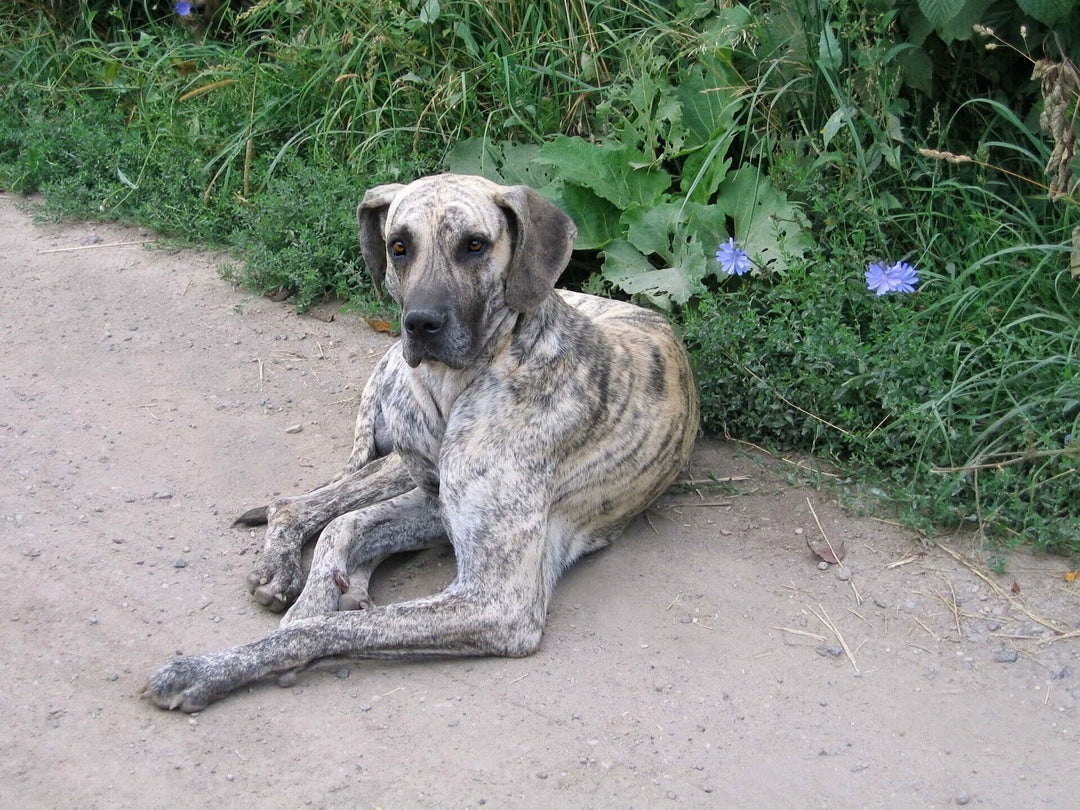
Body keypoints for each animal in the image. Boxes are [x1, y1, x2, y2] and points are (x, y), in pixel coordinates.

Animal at [141, 176, 699, 708]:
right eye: (399, 247)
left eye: (474, 245)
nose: (420, 324)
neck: (461, 382)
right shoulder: (439, 509)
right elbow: (341, 557)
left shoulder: (496, 601)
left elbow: (334, 624)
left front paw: (204, 670)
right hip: (398, 456)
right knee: (313, 509)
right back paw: (293, 572)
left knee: (337, 521)